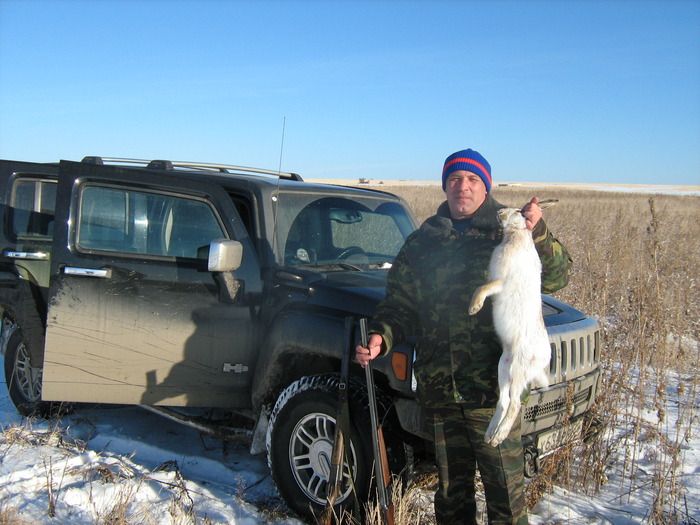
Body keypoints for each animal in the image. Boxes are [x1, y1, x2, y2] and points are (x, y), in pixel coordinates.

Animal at [468, 201, 557, 447]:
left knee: (515, 404)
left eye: (519, 211)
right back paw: (490, 435)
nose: (500, 212)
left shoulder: (501, 280)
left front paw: (473, 308)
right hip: (503, 366)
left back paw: (499, 436)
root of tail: (544, 359)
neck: (517, 234)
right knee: (504, 401)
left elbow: (482, 288)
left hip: (518, 369)